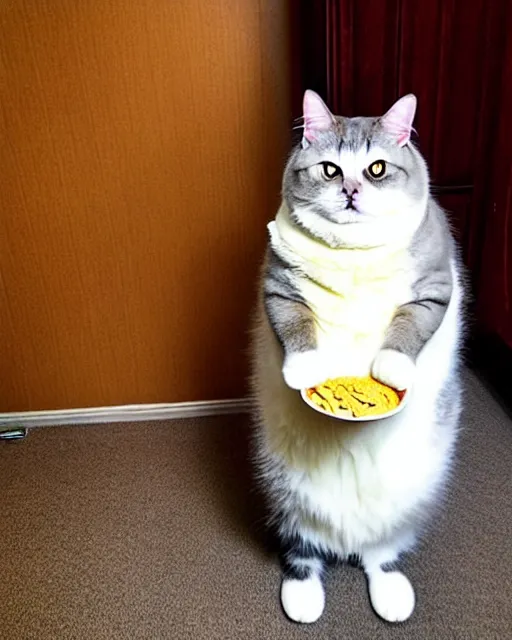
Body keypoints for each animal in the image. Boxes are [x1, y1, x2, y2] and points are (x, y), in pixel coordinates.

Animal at [250, 87, 466, 624]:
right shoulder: (277, 286)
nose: (350, 190)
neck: (352, 256)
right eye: (330, 170)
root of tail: (344, 540)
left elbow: (407, 327)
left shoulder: (435, 288)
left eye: (376, 169)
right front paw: (305, 366)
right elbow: (297, 324)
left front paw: (391, 367)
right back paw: (303, 595)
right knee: (302, 548)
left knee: (381, 552)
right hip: (284, 492)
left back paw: (389, 590)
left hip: (405, 499)